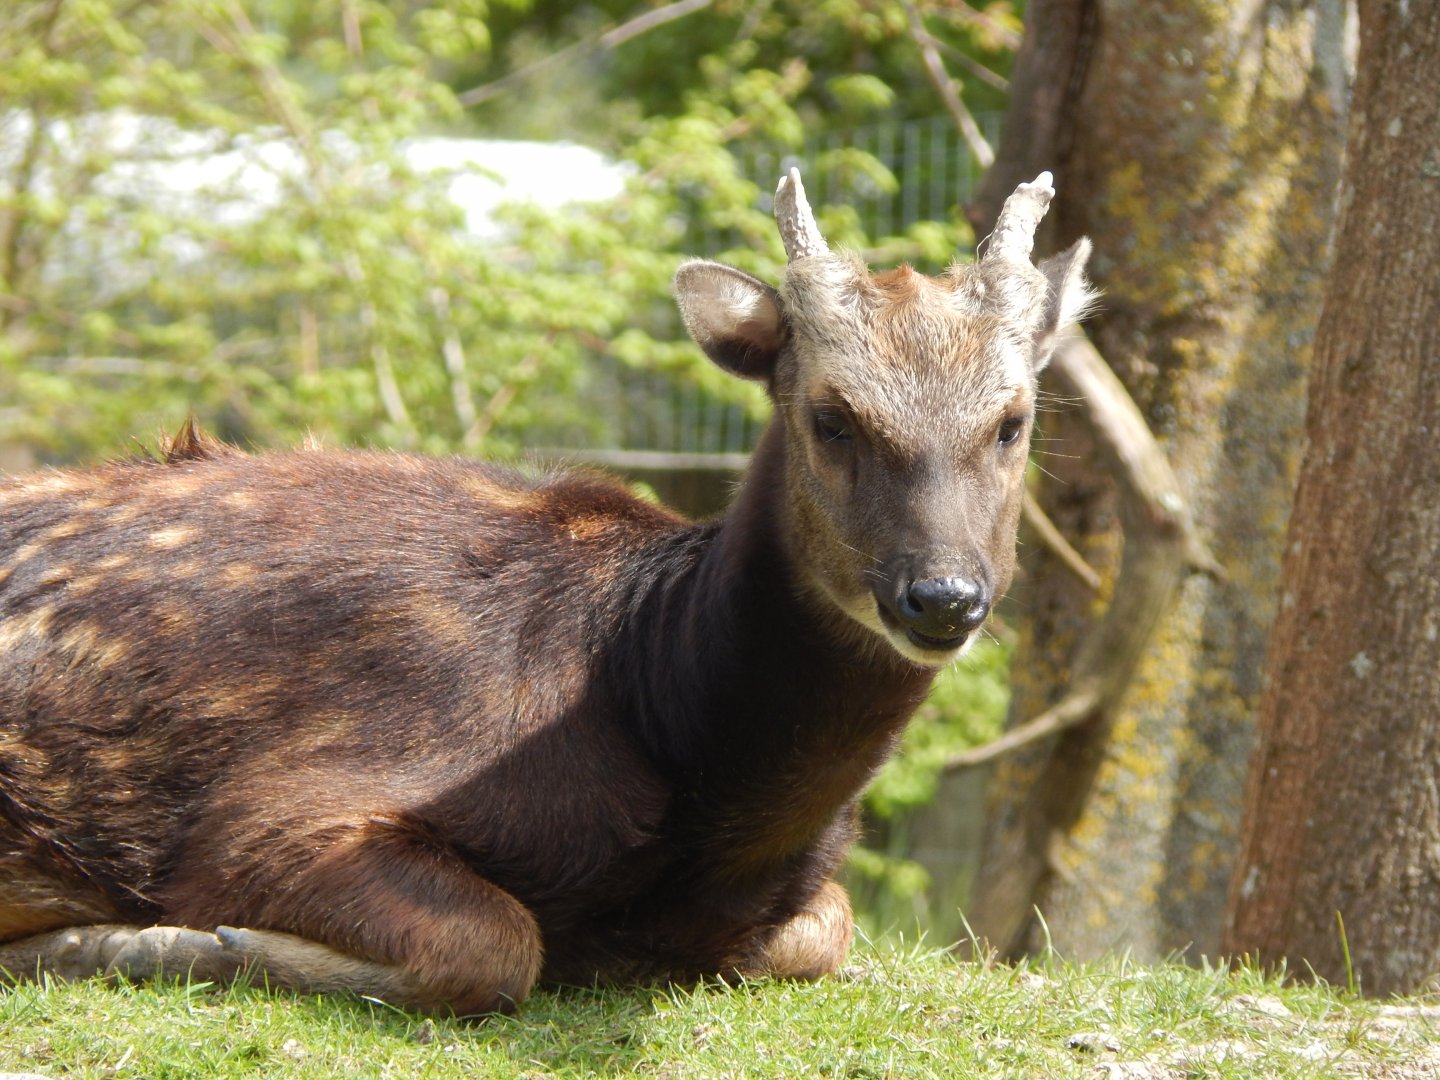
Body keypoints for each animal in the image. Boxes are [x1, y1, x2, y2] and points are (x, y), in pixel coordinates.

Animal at [0, 170, 1091, 1015]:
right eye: (832, 416)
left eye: (1012, 420)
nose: (942, 597)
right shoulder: (268, 813)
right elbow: (493, 943)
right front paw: (123, 944)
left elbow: (823, 931)